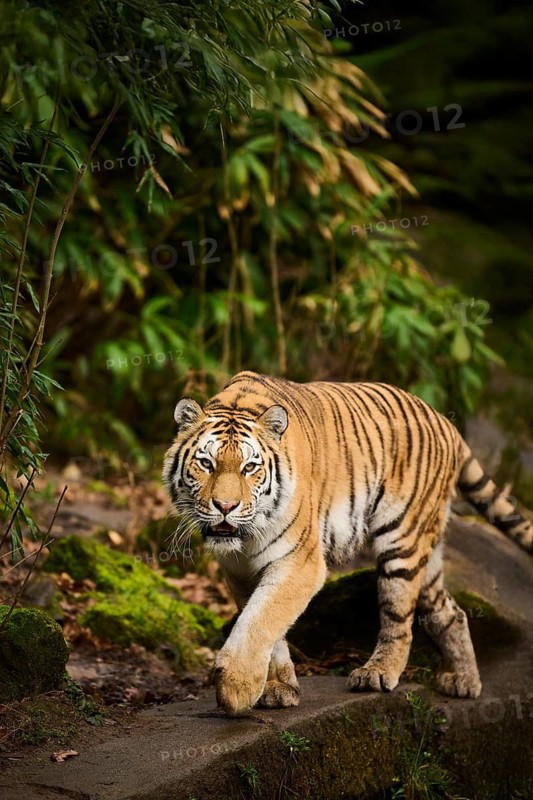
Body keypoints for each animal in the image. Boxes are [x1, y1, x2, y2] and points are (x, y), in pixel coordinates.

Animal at [163, 370, 533, 716]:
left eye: (249, 467)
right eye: (206, 463)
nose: (225, 507)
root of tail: (444, 421)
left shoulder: (300, 562)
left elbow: (260, 621)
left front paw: (236, 688)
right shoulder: (240, 571)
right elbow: (265, 624)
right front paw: (278, 688)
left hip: (402, 542)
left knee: (399, 619)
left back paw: (378, 673)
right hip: (427, 554)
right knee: (451, 612)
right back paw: (464, 681)